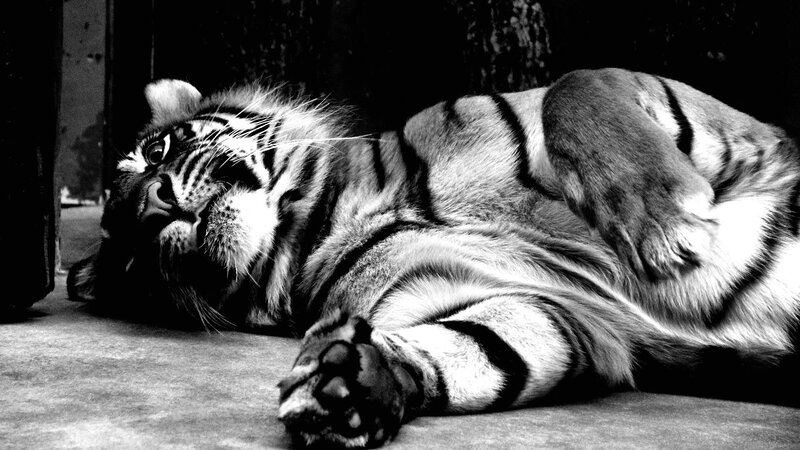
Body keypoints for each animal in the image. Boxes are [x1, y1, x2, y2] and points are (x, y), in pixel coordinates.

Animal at [68, 67, 800, 447]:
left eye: (155, 153)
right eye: (130, 253)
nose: (150, 209)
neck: (329, 210)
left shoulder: (751, 132)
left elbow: (577, 84)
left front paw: (669, 222)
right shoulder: (550, 308)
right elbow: (478, 348)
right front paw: (351, 381)